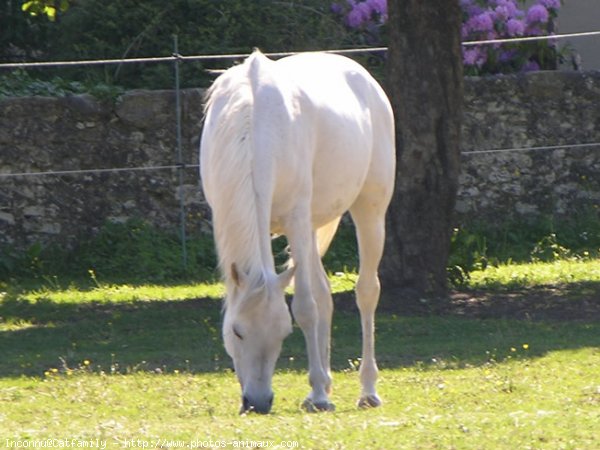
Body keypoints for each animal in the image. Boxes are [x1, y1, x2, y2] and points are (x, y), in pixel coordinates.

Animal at [202, 50, 396, 414]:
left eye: (283, 334)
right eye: (237, 331)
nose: (258, 402)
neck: (254, 123)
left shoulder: (295, 219)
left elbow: (305, 307)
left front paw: (319, 395)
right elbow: (315, 302)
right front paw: (319, 390)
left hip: (368, 211)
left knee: (366, 292)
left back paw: (366, 390)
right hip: (311, 226)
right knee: (325, 294)